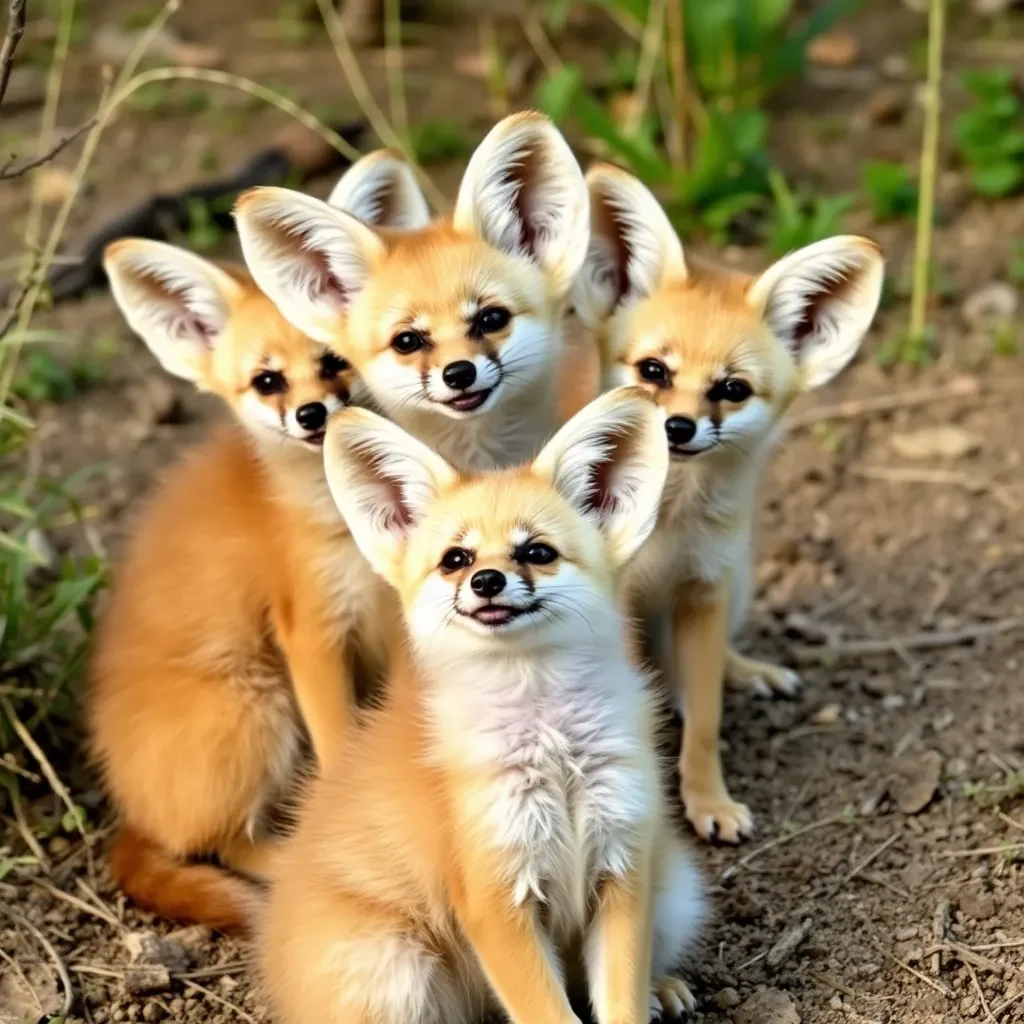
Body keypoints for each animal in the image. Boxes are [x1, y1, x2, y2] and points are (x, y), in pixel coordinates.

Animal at [88, 222, 407, 929]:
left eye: (333, 362)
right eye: (267, 381)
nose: (313, 415)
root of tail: (130, 809)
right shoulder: (311, 633)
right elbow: (341, 750)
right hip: (257, 703)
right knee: (218, 842)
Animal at [258, 389, 704, 1024]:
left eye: (537, 552)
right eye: (455, 559)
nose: (488, 581)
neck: (555, 755)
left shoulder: (623, 870)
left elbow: (620, 1006)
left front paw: (642, 996)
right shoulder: (494, 897)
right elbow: (551, 1015)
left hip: (677, 893)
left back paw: (662, 987)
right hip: (397, 970)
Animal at [573, 163, 884, 843]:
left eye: (732, 389)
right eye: (654, 371)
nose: (678, 427)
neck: (670, 531)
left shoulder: (705, 592)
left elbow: (707, 723)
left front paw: (708, 800)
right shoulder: (623, 609)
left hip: (737, 582)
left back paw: (749, 671)